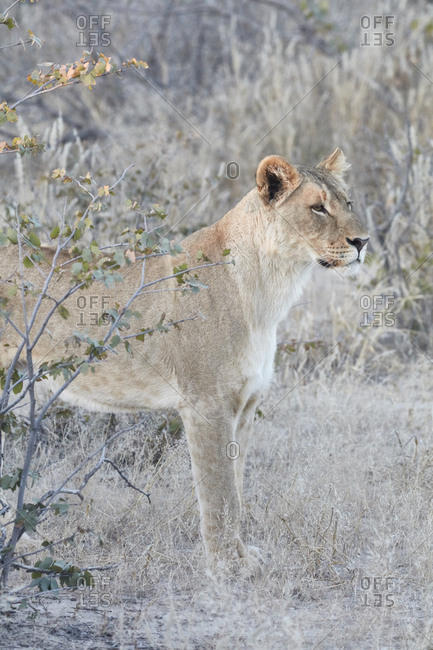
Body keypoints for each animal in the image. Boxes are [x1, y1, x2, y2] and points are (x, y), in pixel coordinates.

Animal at [0, 148, 368, 568]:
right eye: (318, 208)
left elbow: (236, 486)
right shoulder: (207, 404)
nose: (363, 241)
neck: (270, 287)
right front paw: (228, 567)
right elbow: (220, 494)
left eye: (348, 203)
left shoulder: (245, 407)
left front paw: (244, 557)